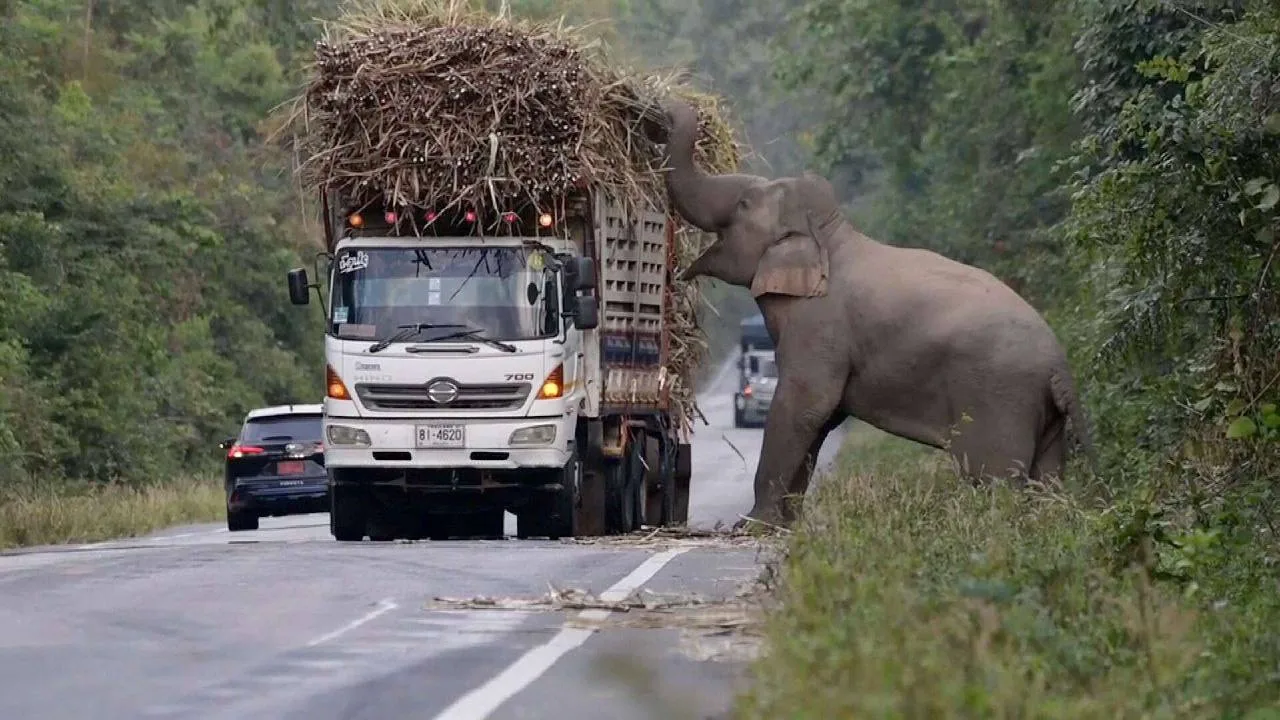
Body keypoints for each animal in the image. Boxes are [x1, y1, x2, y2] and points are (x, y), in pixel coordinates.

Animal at [655, 98, 1094, 529]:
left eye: (744, 204)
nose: (669, 107)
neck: (830, 234)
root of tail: (1060, 365)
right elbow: (820, 418)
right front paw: (787, 526)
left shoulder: (819, 325)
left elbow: (804, 404)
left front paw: (752, 526)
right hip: (1043, 415)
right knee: (1046, 479)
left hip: (999, 400)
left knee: (996, 481)